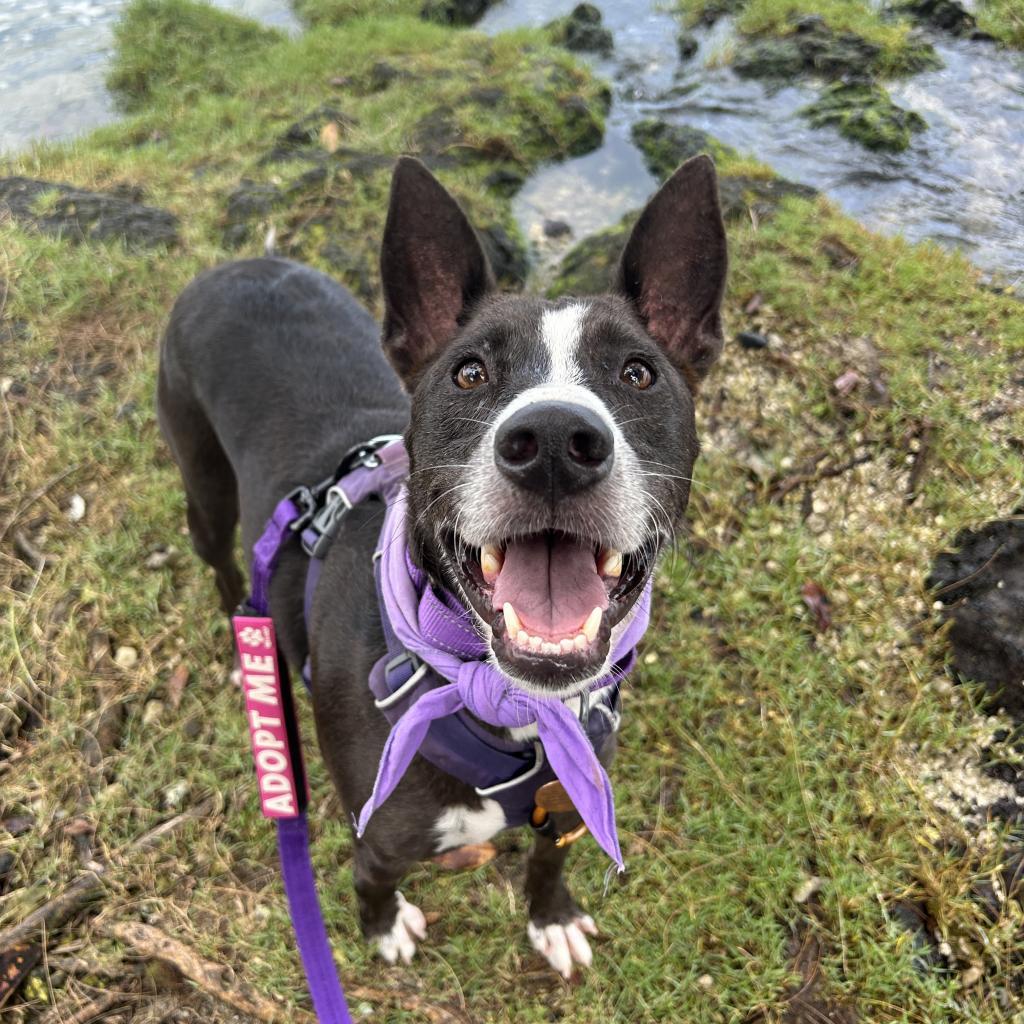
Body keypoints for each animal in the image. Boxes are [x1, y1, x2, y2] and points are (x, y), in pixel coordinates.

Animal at [155, 151, 724, 974]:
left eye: (638, 373)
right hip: (202, 483)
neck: (511, 709)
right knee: (224, 559)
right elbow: (371, 880)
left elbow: (548, 858)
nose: (555, 442)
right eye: (469, 373)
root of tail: (239, 264)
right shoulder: (379, 839)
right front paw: (383, 927)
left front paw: (550, 915)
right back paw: (244, 636)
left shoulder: (569, 800)